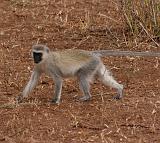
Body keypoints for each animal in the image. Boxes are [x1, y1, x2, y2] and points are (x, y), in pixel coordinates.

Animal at [17, 44, 160, 103]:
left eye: (39, 54)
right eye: (35, 53)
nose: (35, 59)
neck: (45, 60)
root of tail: (93, 53)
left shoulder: (52, 67)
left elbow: (58, 81)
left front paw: (55, 100)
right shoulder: (37, 67)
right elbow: (34, 80)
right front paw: (21, 97)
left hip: (89, 65)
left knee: (82, 76)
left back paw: (87, 97)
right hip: (96, 65)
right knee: (103, 77)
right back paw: (119, 89)